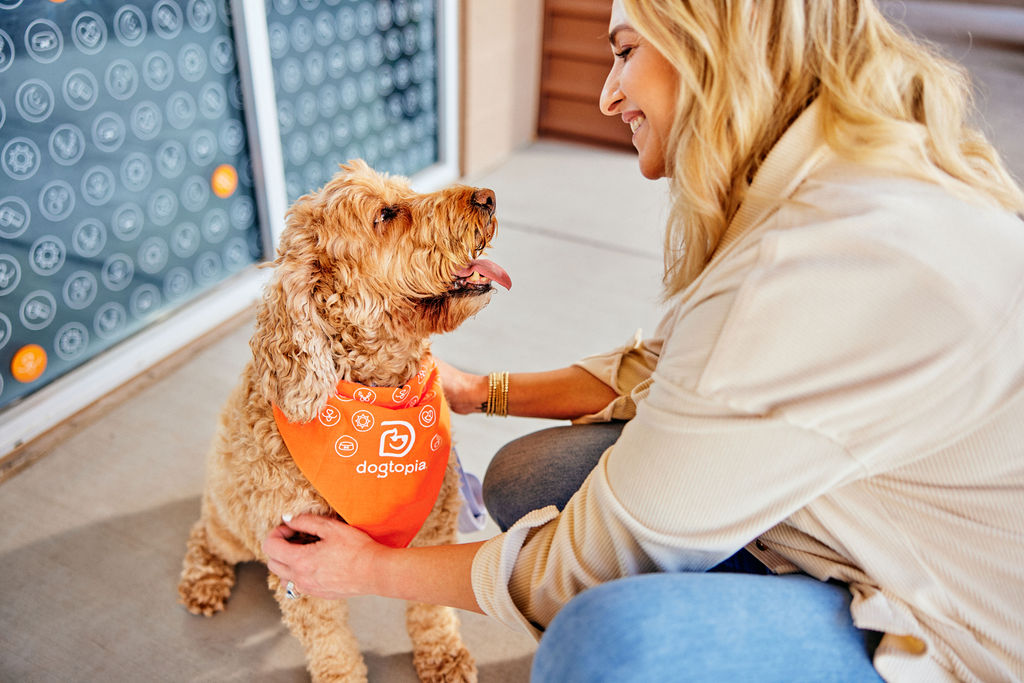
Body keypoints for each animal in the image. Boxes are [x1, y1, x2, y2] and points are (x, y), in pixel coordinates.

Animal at [182, 161, 509, 683]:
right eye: (386, 214)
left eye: (408, 192)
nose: (488, 197)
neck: (377, 394)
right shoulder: (299, 560)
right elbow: (331, 647)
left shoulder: (431, 526)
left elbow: (430, 608)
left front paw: (442, 654)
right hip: (232, 526)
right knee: (203, 534)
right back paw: (204, 580)